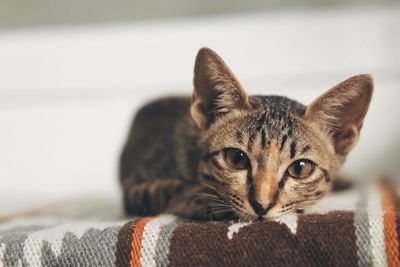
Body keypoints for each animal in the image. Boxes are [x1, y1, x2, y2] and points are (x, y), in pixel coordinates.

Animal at [120, 48, 374, 222]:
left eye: (300, 168)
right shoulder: (135, 186)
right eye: (236, 158)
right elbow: (168, 189)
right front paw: (200, 198)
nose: (262, 205)